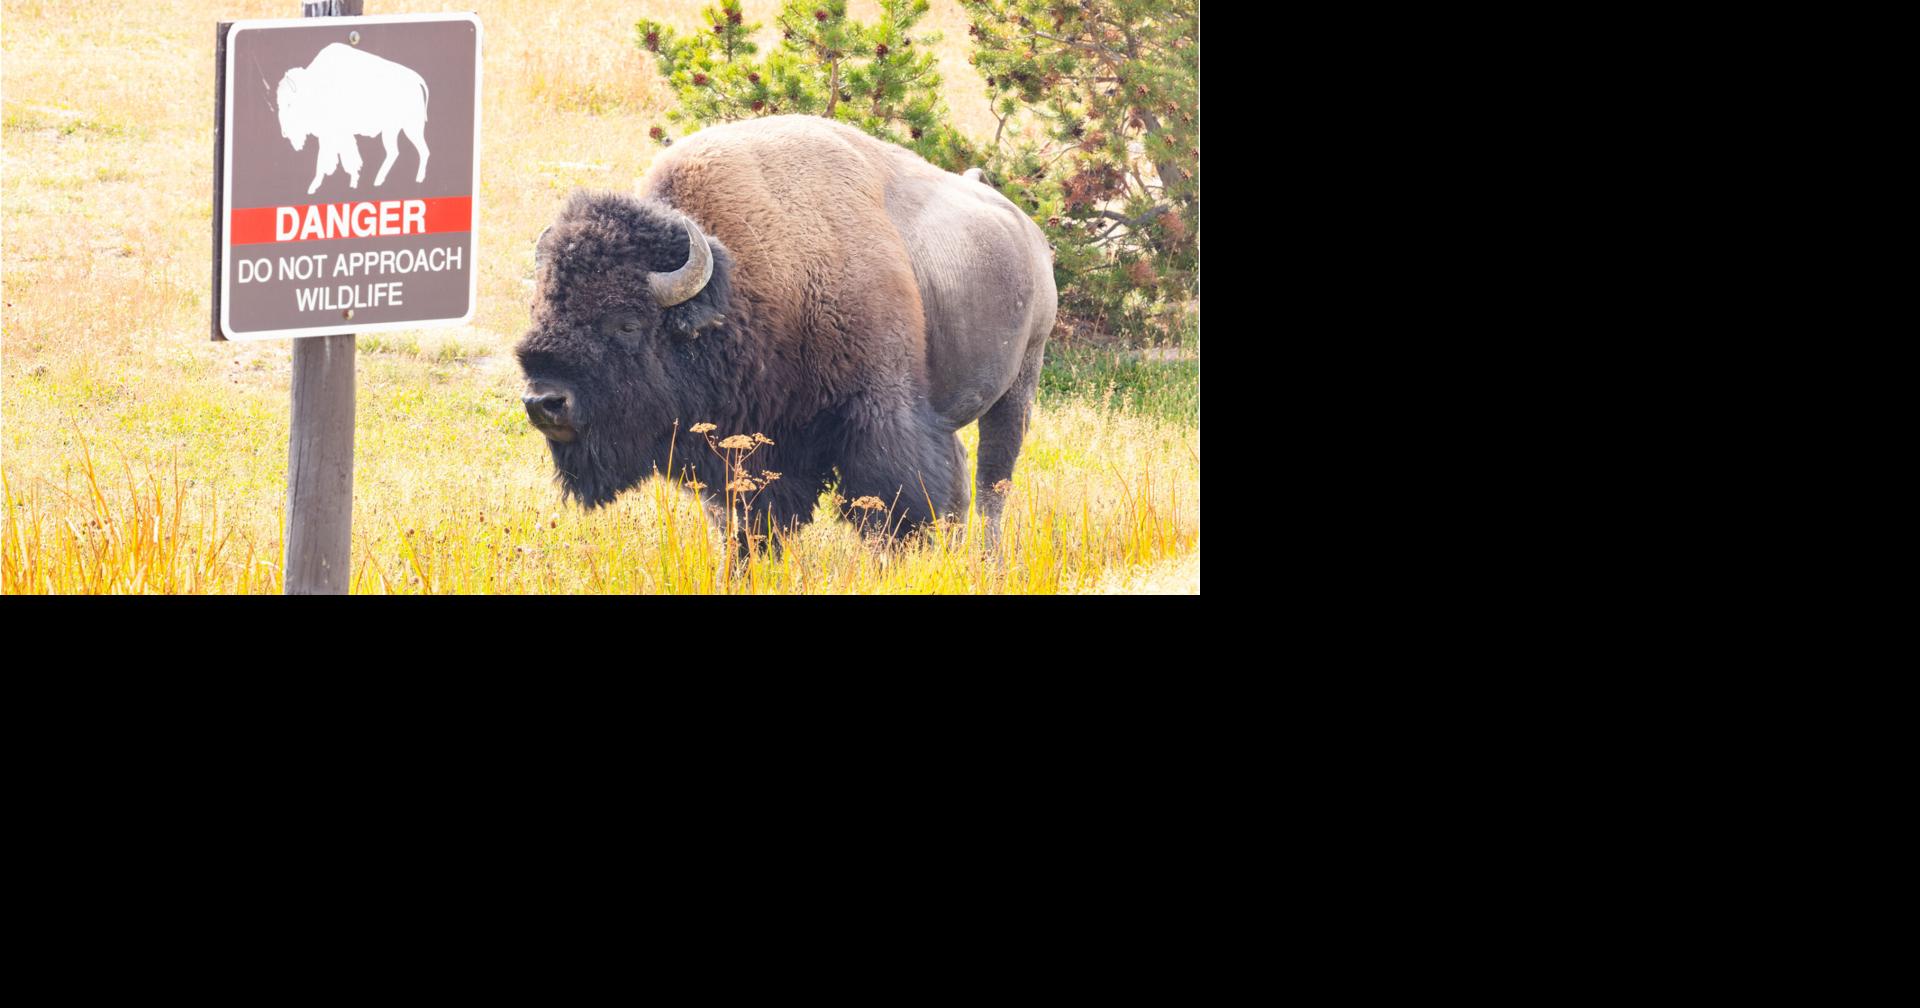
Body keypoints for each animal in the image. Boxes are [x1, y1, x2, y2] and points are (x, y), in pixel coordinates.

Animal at [515, 116, 1056, 545]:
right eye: (540, 310)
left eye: (628, 323)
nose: (544, 402)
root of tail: (1028, 232)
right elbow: (745, 520)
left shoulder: (879, 415)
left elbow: (893, 504)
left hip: (1020, 384)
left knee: (992, 483)